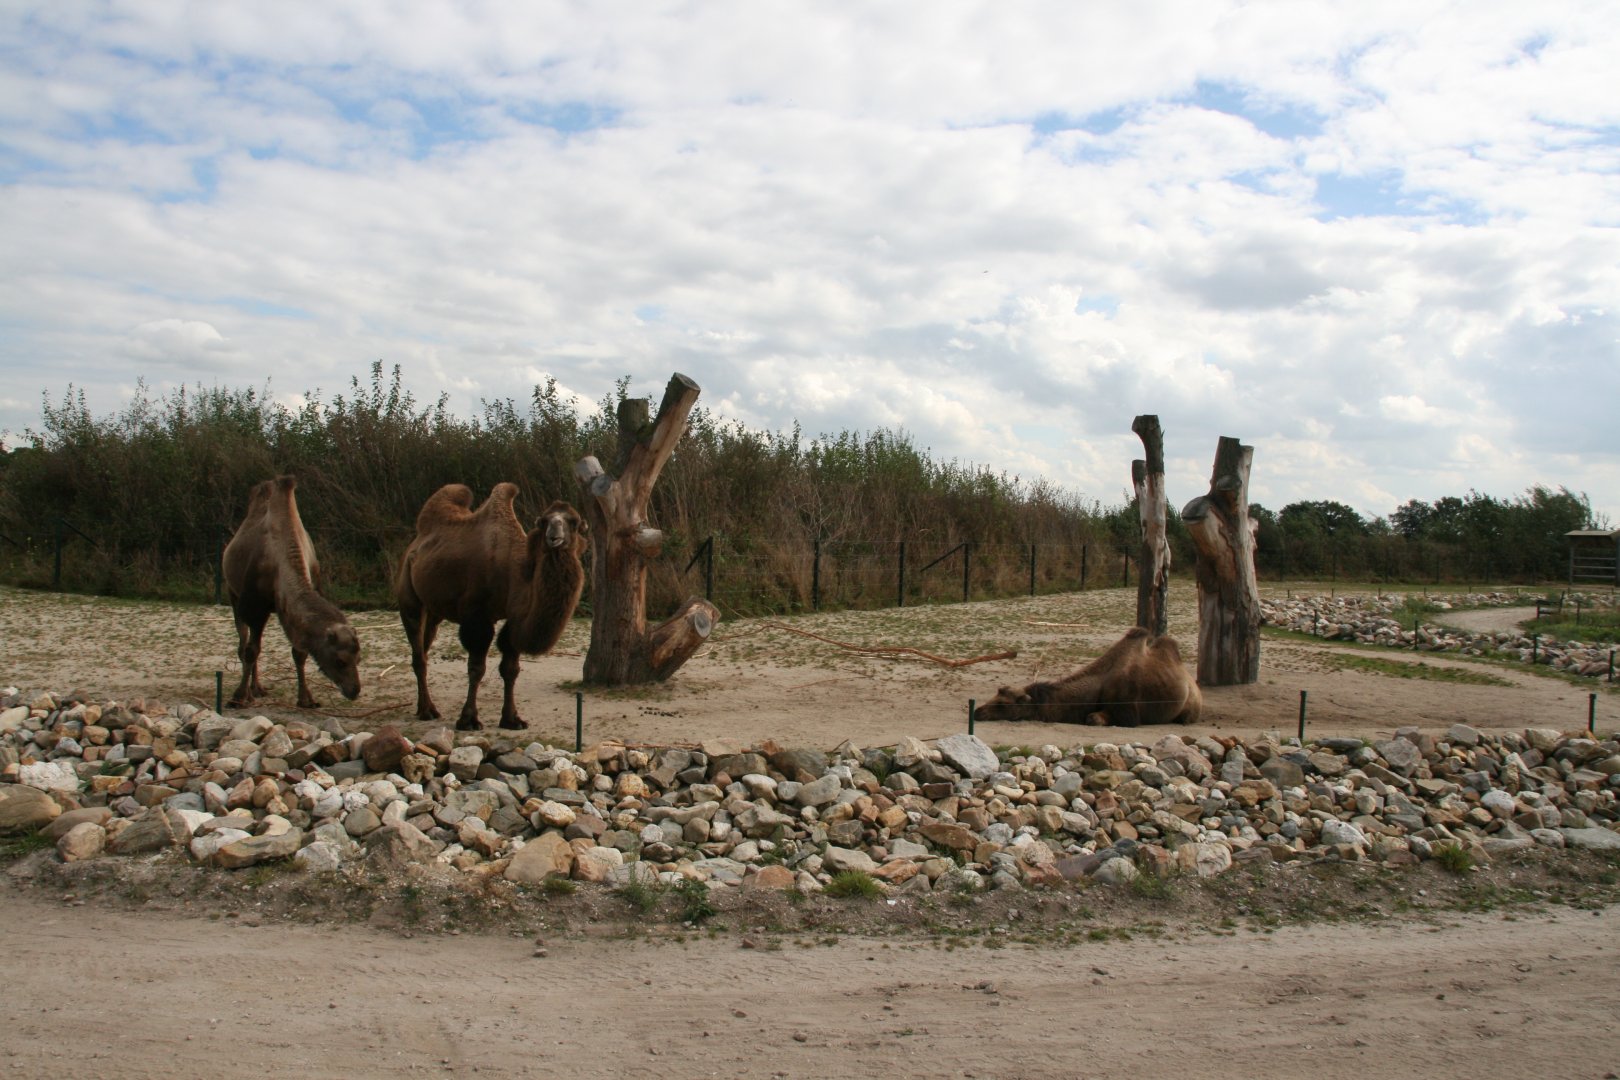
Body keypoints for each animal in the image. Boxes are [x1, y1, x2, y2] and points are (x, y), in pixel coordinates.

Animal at [222, 475, 362, 709]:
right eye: (340, 661)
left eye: (358, 659)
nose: (354, 691)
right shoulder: (254, 606)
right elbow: (251, 651)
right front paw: (238, 697)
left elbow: (299, 653)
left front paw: (306, 698)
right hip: (233, 592)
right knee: (244, 643)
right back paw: (251, 691)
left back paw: (257, 689)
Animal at [395, 483, 587, 730]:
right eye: (544, 521)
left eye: (574, 521)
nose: (554, 537)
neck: (513, 572)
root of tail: (413, 546)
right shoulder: (477, 617)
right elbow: (477, 668)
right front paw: (468, 719)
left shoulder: (514, 618)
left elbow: (511, 668)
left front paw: (512, 719)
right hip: (409, 598)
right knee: (418, 651)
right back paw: (428, 711)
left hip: (434, 609)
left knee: (424, 649)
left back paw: (423, 707)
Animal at [974, 626, 1201, 726]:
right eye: (995, 696)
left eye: (1002, 704)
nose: (977, 712)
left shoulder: (1128, 712)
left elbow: (1093, 718)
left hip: (1190, 708)